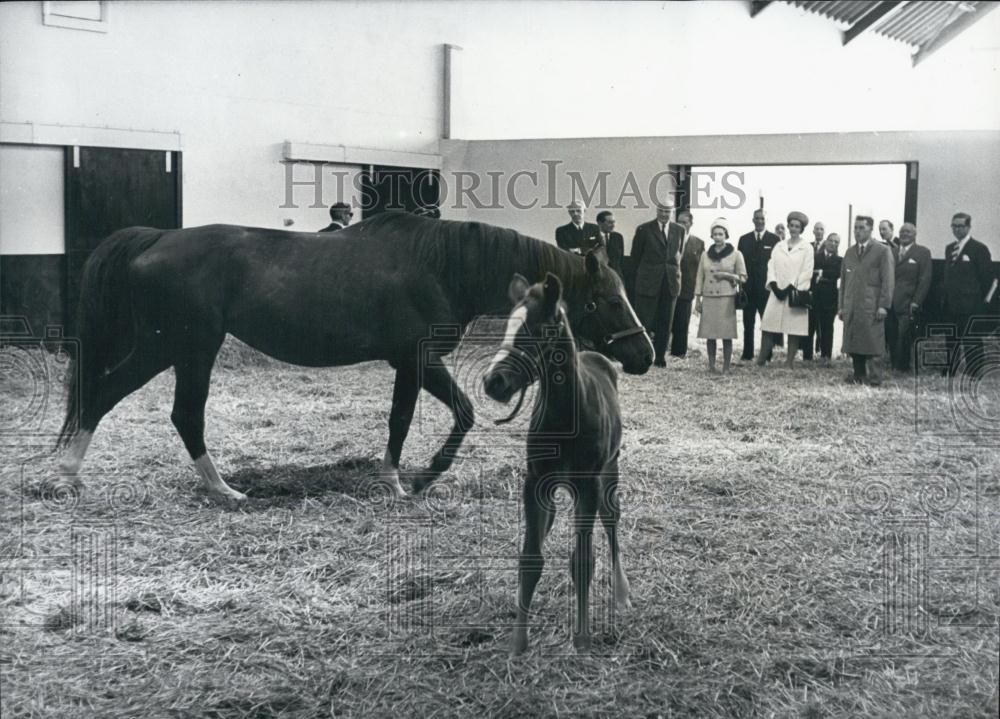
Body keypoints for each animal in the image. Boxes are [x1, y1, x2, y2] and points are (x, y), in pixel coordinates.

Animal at [56, 212, 653, 502]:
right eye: (606, 300)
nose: (645, 353)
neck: (441, 264)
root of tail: (156, 238)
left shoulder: (409, 364)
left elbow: (418, 416)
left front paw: (402, 476)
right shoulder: (416, 359)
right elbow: (438, 415)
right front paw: (414, 478)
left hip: (180, 351)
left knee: (146, 405)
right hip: (181, 348)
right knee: (147, 404)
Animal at [483, 272, 631, 655]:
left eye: (538, 329)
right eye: (508, 326)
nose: (493, 382)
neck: (565, 417)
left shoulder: (587, 485)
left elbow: (582, 560)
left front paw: (582, 638)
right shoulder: (534, 482)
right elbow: (530, 558)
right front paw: (518, 641)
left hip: (609, 471)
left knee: (611, 522)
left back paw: (622, 593)